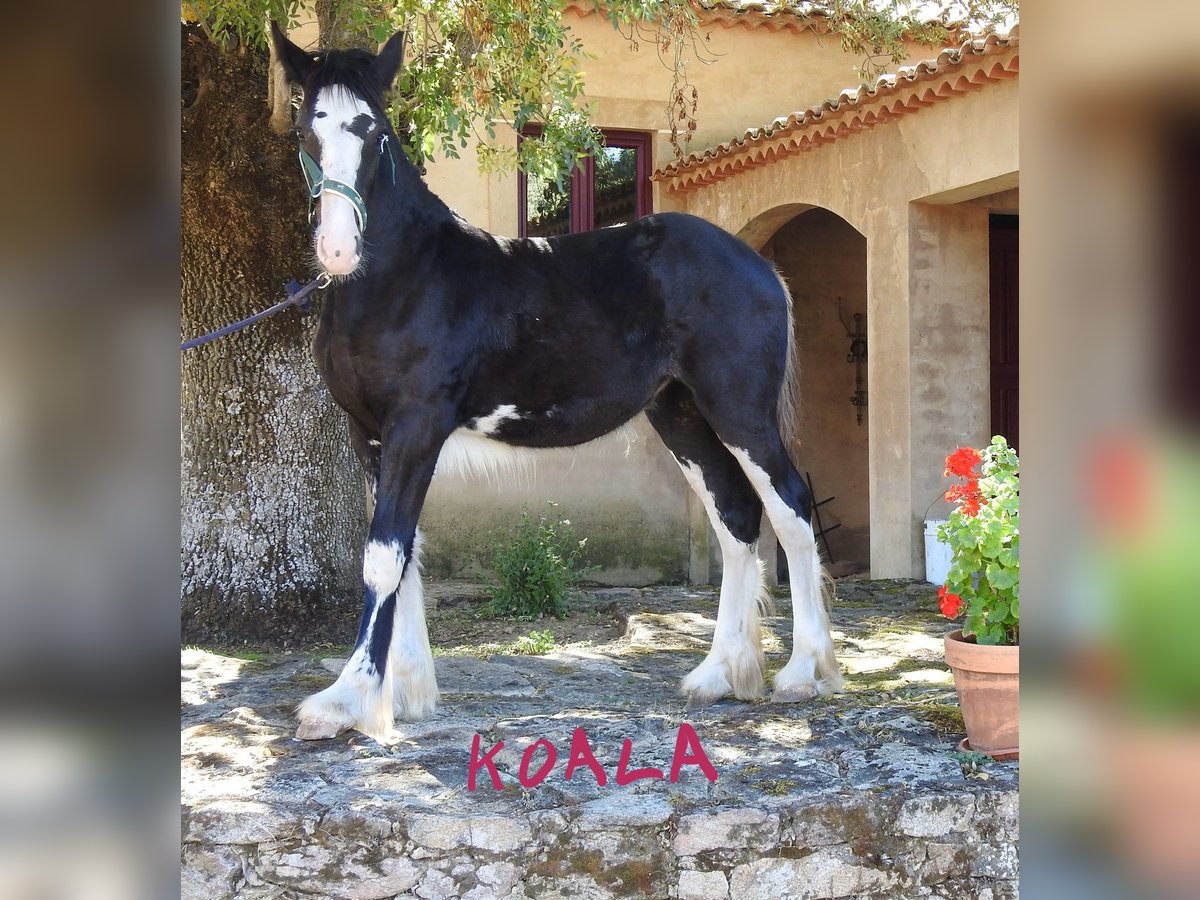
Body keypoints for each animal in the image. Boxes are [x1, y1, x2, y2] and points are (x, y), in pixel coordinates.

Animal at [268, 24, 840, 744]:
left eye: (374, 130)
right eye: (304, 129)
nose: (339, 250)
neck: (405, 277)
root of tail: (757, 262)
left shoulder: (414, 427)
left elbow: (383, 556)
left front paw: (348, 700)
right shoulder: (368, 434)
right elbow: (407, 554)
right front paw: (407, 692)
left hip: (739, 410)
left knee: (789, 508)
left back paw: (804, 672)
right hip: (680, 414)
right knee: (735, 515)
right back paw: (719, 675)